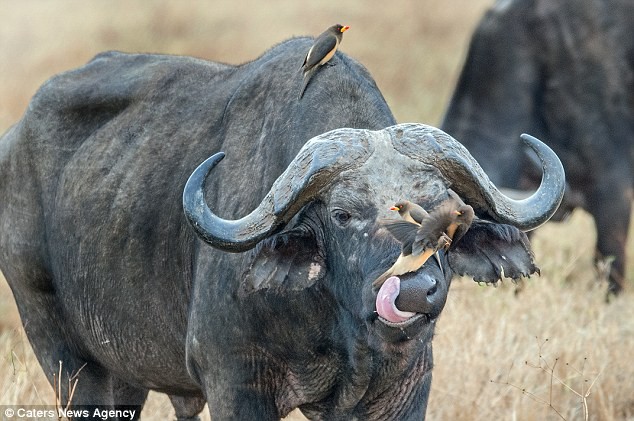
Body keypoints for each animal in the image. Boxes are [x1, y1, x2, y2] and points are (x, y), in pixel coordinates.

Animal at [0, 37, 564, 418]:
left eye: (446, 213)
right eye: (342, 215)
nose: (414, 291)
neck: (338, 326)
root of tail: (15, 140)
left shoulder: (405, 387)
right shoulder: (236, 382)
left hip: (125, 377)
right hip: (63, 353)